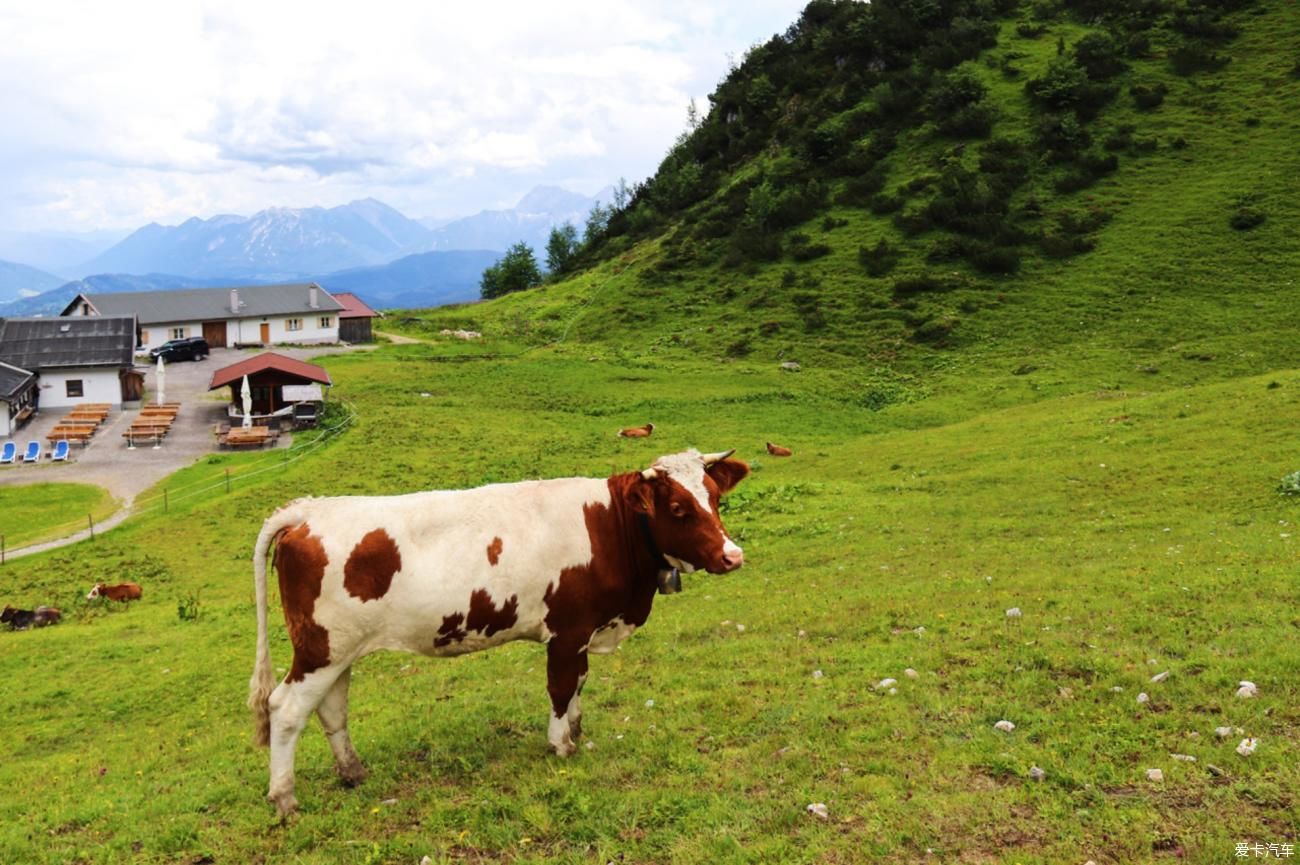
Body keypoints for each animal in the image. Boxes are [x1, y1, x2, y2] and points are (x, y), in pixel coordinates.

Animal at [246, 447, 748, 811]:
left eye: (715, 498)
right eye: (679, 508)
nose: (732, 556)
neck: (608, 525)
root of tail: (308, 510)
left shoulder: (583, 631)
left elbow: (580, 681)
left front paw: (576, 728)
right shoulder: (567, 631)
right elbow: (561, 686)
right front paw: (561, 744)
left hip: (336, 651)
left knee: (331, 709)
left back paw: (353, 772)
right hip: (320, 649)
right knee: (286, 710)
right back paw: (285, 798)